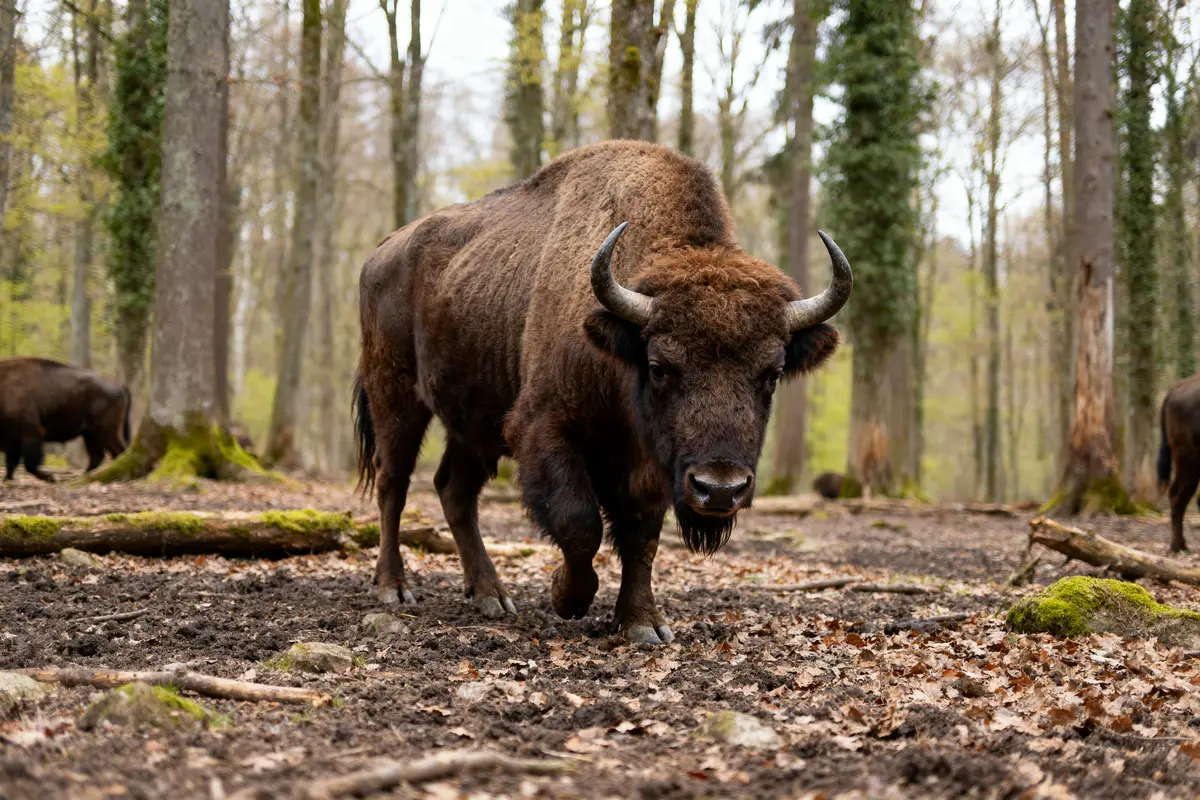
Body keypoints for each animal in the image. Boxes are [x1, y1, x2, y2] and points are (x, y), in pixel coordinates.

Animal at [0, 357, 131, 482]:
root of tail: (121, 385)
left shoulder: (31, 433)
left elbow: (29, 464)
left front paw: (50, 478)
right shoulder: (13, 439)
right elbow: (11, 462)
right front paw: (7, 479)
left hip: (106, 431)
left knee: (118, 451)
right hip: (90, 434)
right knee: (97, 456)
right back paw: (83, 477)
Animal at [354, 140, 851, 643]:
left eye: (772, 372)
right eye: (658, 367)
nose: (719, 489)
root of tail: (380, 253)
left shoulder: (649, 463)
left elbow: (642, 537)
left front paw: (642, 622)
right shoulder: (541, 429)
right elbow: (579, 524)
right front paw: (566, 596)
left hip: (472, 423)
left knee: (454, 489)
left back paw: (491, 595)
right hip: (395, 395)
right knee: (393, 482)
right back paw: (394, 587)